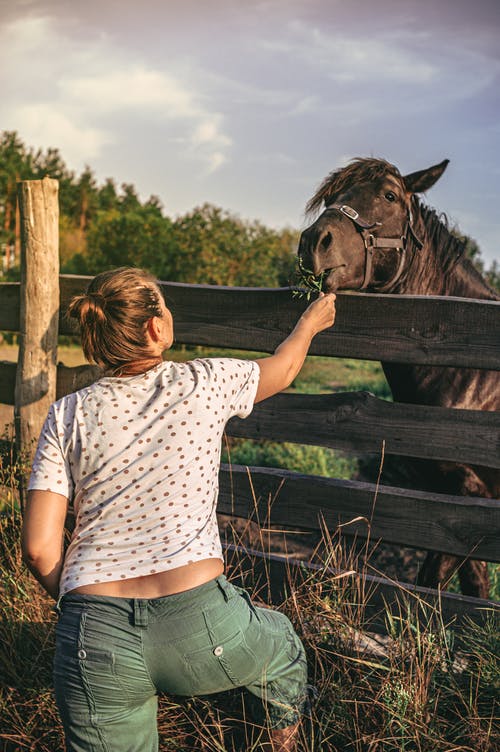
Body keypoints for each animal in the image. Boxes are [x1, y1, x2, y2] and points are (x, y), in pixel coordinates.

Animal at [298, 160, 498, 600]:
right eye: (331, 195)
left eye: (389, 195)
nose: (312, 242)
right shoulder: (454, 504)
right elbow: (473, 585)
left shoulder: (468, 503)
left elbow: (432, 581)